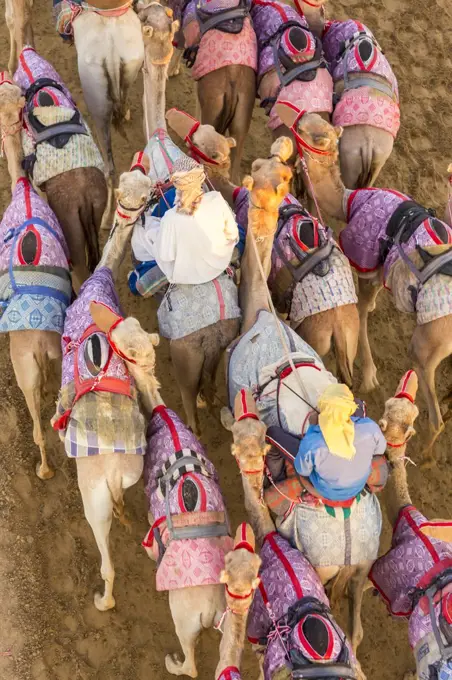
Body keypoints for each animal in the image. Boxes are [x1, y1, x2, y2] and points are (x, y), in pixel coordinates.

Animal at [276, 106, 452, 460]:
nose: (294, 115)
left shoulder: (367, 260)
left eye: (305, 129)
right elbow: (367, 306)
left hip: (429, 343)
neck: (347, 203)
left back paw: (424, 458)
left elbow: (361, 310)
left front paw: (369, 375)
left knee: (435, 416)